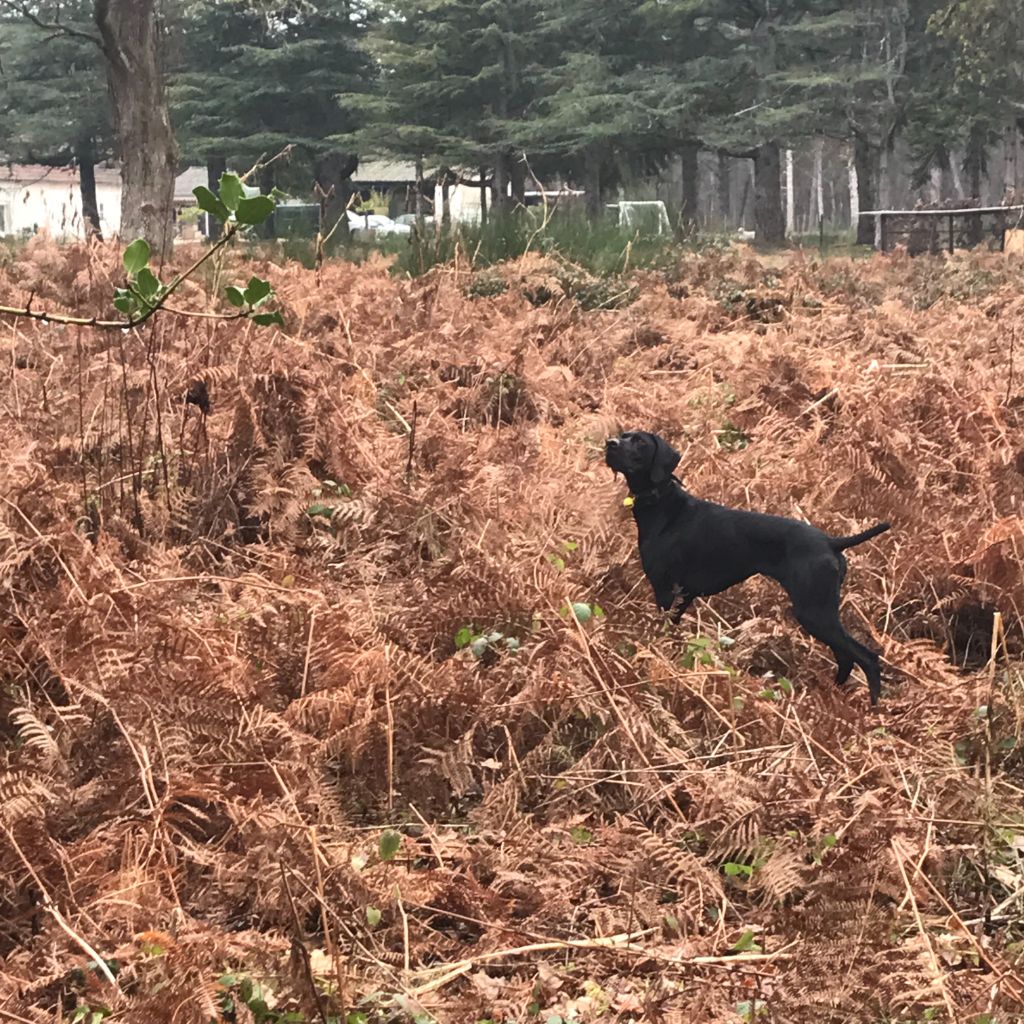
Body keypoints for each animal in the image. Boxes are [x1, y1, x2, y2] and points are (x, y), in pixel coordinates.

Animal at [606, 430, 888, 704]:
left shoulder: (665, 591)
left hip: (815, 612)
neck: (662, 503)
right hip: (822, 614)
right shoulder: (683, 596)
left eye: (640, 441)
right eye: (624, 434)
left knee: (867, 658)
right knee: (846, 658)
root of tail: (831, 542)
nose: (610, 443)